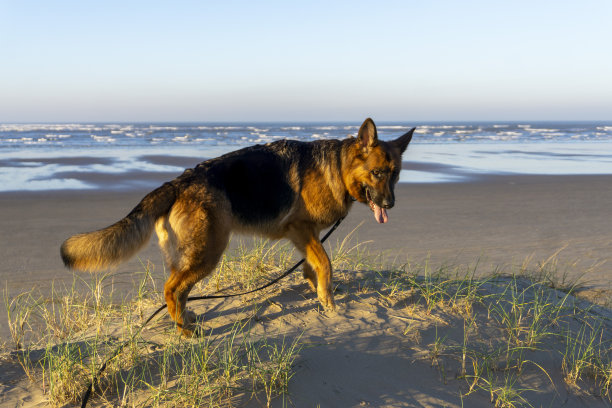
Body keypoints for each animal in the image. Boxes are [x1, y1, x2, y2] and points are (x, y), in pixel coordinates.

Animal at [61, 117, 416, 334]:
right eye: (377, 174)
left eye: (395, 174)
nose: (390, 205)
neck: (338, 168)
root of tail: (179, 182)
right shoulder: (301, 228)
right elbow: (325, 263)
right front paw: (328, 303)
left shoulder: (307, 234)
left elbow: (312, 265)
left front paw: (316, 289)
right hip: (208, 253)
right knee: (172, 289)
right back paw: (186, 333)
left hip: (193, 255)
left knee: (178, 291)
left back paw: (186, 320)